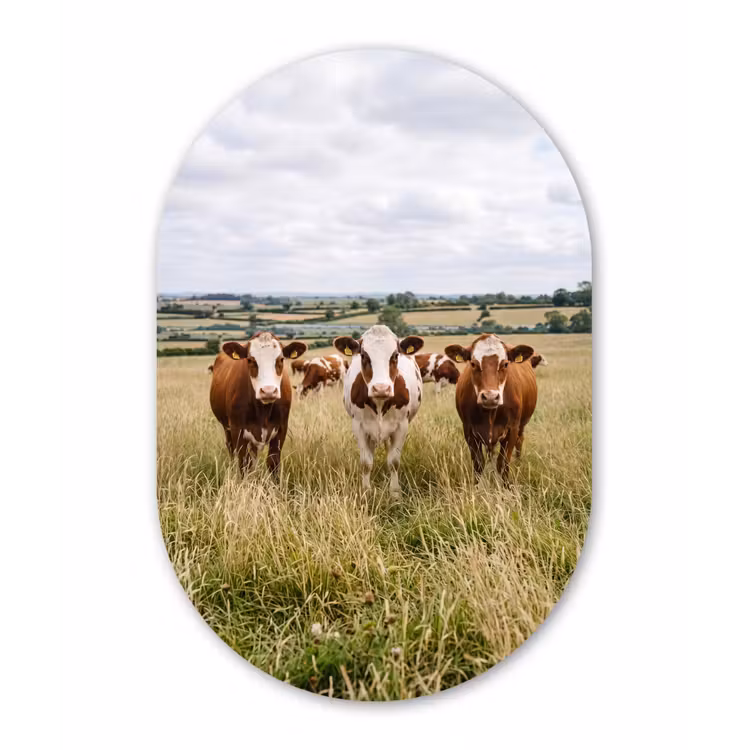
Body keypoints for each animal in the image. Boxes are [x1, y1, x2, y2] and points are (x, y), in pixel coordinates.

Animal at [209, 332, 307, 475]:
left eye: (281, 359)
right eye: (250, 360)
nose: (268, 391)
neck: (263, 410)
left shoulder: (281, 429)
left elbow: (273, 463)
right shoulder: (237, 430)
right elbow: (243, 464)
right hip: (227, 427)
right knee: (231, 449)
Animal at [334, 325, 424, 495]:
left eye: (395, 355)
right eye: (364, 355)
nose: (381, 388)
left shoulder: (401, 426)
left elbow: (394, 461)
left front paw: (395, 492)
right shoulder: (359, 426)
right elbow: (366, 462)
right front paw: (366, 491)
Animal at [444, 334, 537, 483]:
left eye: (505, 364)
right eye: (473, 364)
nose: (490, 397)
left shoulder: (512, 429)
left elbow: (503, 463)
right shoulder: (469, 431)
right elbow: (478, 464)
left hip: (522, 425)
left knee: (520, 441)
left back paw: (518, 462)